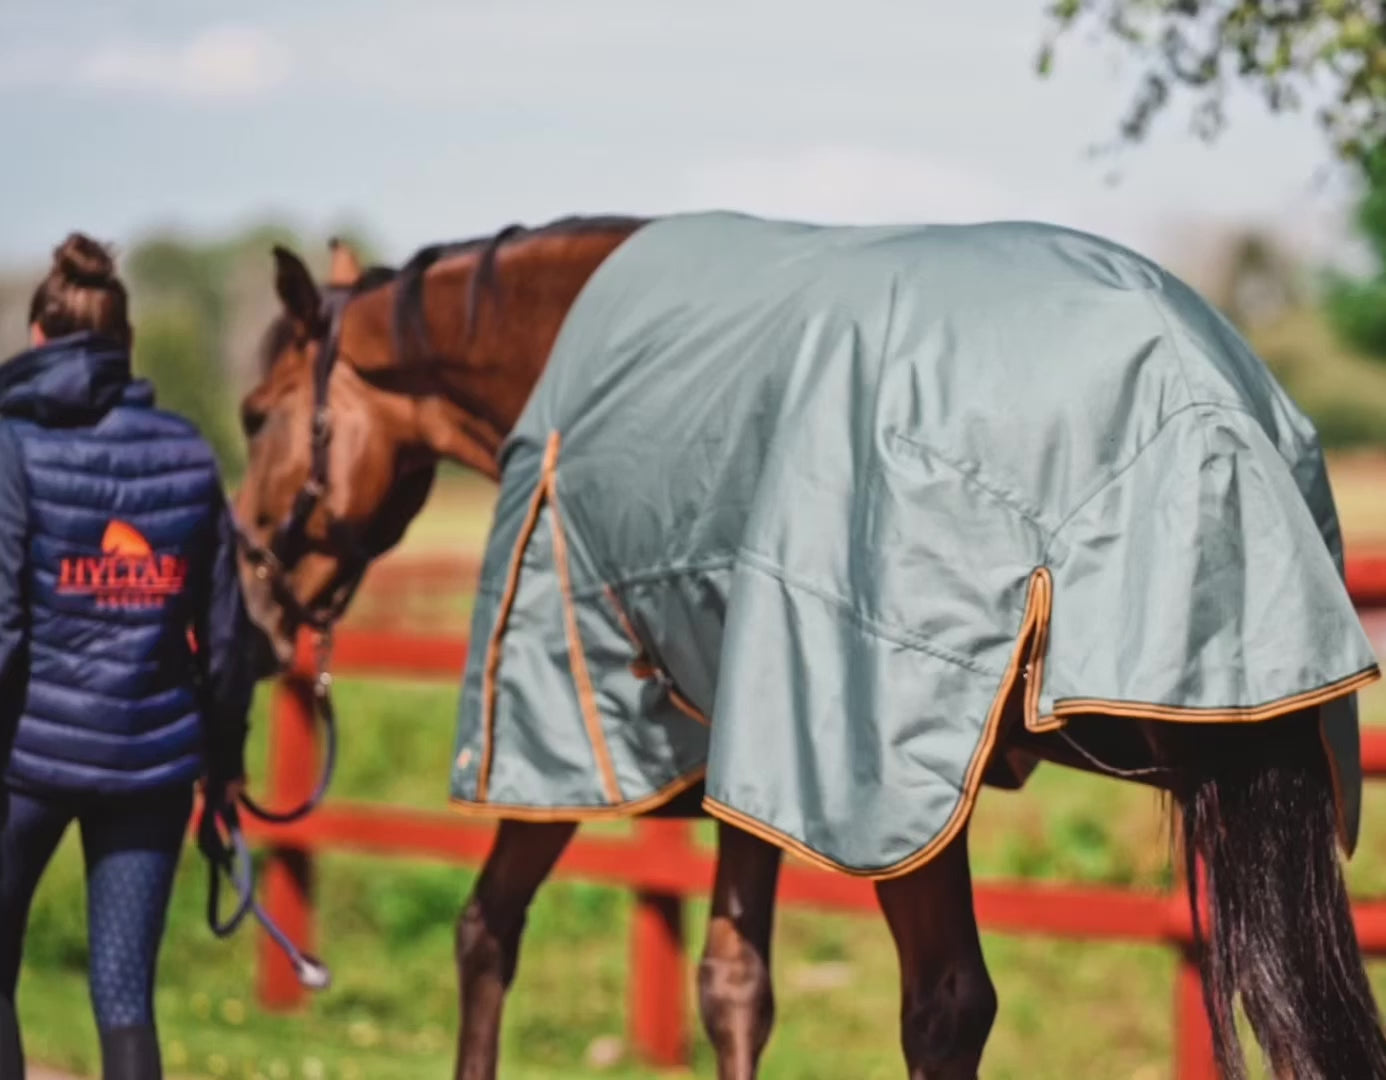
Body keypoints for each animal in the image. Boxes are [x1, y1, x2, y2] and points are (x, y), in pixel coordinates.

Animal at [232, 214, 1386, 1075]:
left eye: (253, 415)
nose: (253, 606)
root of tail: (1201, 402)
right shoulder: (752, 745)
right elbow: (736, 983)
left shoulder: (565, 696)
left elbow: (486, 928)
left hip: (895, 782)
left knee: (946, 1008)